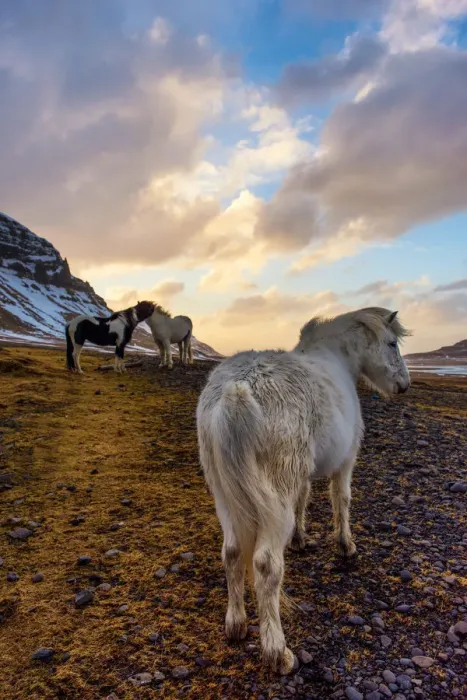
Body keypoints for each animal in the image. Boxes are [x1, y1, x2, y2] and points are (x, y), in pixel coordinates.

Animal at [196, 307, 411, 675]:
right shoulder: (345, 461)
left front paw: (300, 539)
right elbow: (342, 500)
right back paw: (277, 653)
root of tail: (236, 389)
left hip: (225, 495)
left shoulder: (301, 477)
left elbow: (302, 502)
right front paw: (346, 546)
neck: (337, 360)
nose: (404, 385)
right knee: (265, 564)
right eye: (392, 343)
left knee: (233, 552)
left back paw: (236, 625)